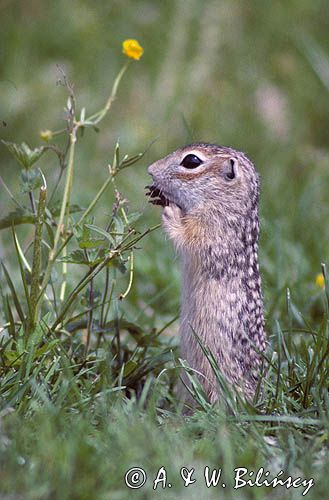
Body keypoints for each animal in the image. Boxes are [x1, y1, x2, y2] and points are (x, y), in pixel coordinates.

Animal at [146, 143, 266, 404]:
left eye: (191, 161)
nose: (150, 169)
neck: (224, 201)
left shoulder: (214, 231)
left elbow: (189, 236)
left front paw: (171, 212)